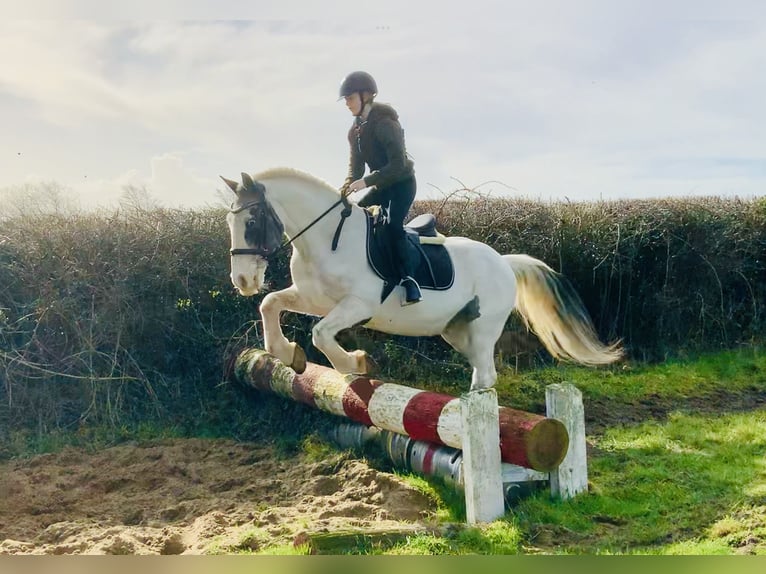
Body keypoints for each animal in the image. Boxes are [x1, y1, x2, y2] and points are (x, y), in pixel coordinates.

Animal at [222, 168, 624, 392]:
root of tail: (504, 262)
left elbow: (320, 333)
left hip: (483, 328)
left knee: (486, 373)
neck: (326, 239)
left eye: (252, 222)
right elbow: (270, 303)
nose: (241, 279)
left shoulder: (358, 305)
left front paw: (355, 364)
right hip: (456, 330)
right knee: (482, 371)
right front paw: (286, 352)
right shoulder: (313, 299)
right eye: (229, 221)